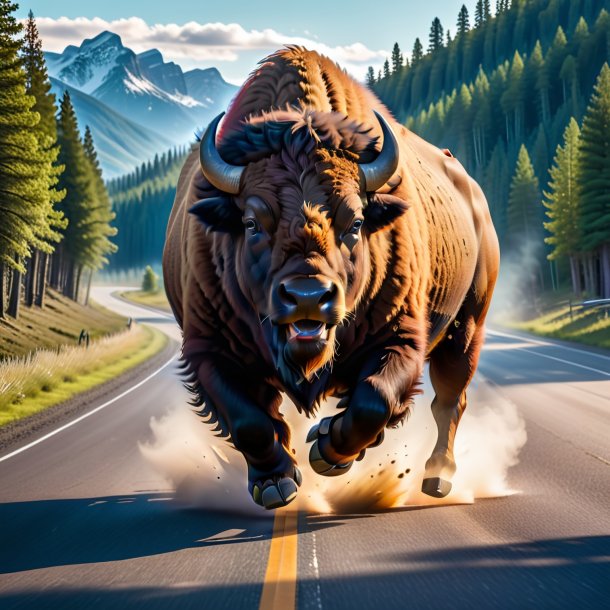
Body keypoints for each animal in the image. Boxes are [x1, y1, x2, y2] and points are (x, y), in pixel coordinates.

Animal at [163, 46, 498, 508]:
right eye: (251, 222)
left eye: (355, 222)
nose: (307, 297)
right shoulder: (208, 349)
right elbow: (250, 419)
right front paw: (276, 482)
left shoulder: (401, 337)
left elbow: (375, 399)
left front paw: (326, 451)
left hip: (466, 327)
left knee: (450, 399)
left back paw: (437, 478)